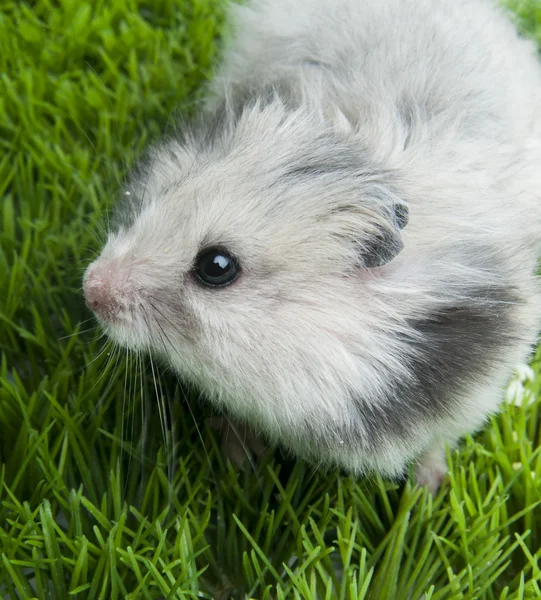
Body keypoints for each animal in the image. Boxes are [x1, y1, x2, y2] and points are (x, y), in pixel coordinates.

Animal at [82, 0, 540, 492]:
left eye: (217, 266)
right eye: (166, 194)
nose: (89, 288)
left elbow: (438, 440)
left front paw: (426, 493)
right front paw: (239, 460)